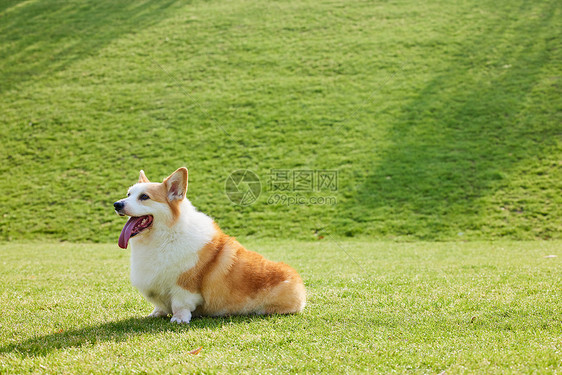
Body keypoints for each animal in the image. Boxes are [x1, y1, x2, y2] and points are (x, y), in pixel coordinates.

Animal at [113, 167, 304, 324]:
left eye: (144, 197)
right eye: (128, 194)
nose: (117, 204)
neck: (165, 236)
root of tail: (300, 284)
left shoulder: (184, 286)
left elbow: (180, 305)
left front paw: (178, 319)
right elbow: (159, 306)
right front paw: (156, 313)